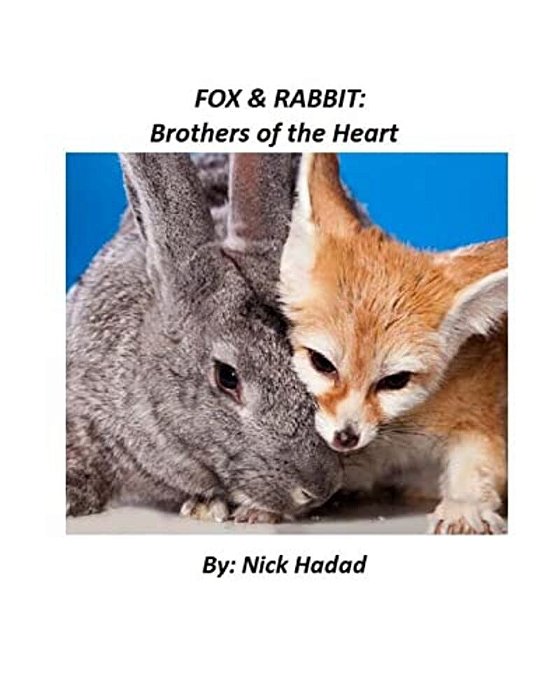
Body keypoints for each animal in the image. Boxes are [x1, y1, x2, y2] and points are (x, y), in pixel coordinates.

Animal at [280, 153, 508, 534]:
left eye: (395, 381)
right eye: (322, 364)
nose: (346, 437)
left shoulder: (479, 414)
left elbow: (476, 465)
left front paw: (464, 506)